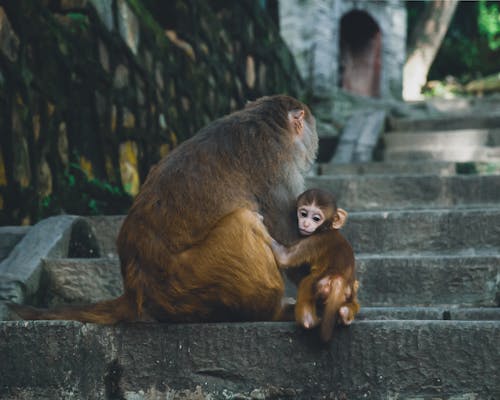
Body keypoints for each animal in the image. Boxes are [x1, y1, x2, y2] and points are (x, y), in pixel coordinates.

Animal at [10, 94, 316, 324]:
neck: (266, 121)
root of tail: (136, 293)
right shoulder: (276, 166)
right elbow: (291, 240)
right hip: (191, 284)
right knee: (242, 220)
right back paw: (273, 311)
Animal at [274, 188, 360, 340]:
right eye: (303, 214)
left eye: (316, 218)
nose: (305, 224)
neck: (329, 229)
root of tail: (338, 277)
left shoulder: (316, 240)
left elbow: (284, 258)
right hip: (347, 293)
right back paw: (345, 314)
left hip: (319, 283)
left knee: (306, 281)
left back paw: (308, 321)